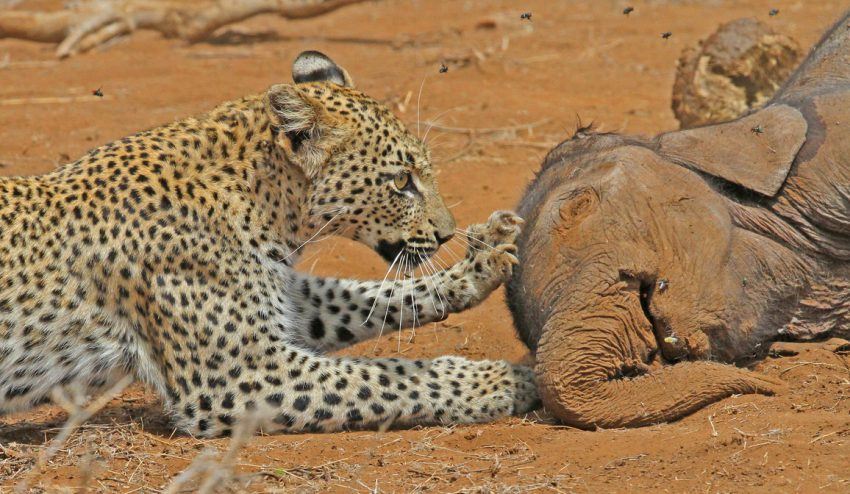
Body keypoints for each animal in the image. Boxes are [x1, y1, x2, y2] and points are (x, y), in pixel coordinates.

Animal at [0, 50, 540, 436]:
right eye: (401, 181)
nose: (448, 231)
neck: (271, 211)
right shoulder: (237, 378)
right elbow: (390, 376)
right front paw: (506, 381)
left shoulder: (280, 299)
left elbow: (365, 298)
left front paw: (480, 262)